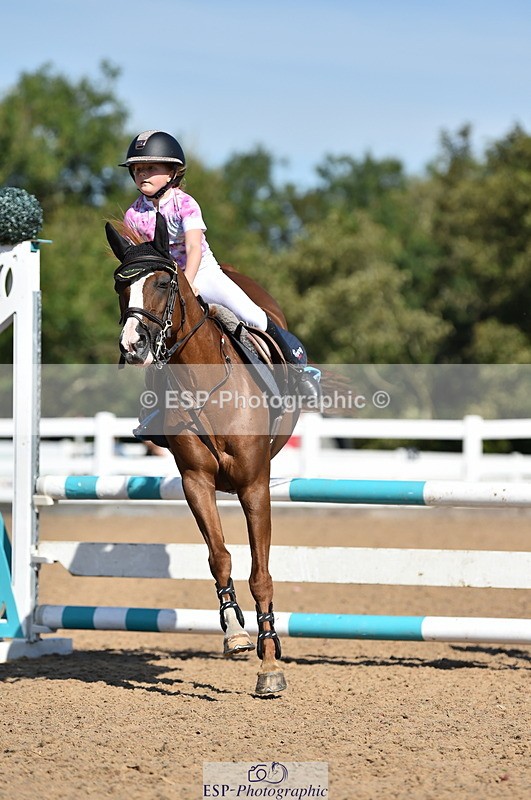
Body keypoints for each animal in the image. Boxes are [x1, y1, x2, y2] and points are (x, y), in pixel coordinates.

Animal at [105, 212, 301, 695]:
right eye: (120, 287)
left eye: (162, 283)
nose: (132, 347)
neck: (205, 385)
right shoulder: (196, 482)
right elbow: (220, 557)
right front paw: (235, 634)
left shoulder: (254, 486)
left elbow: (261, 575)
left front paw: (270, 665)